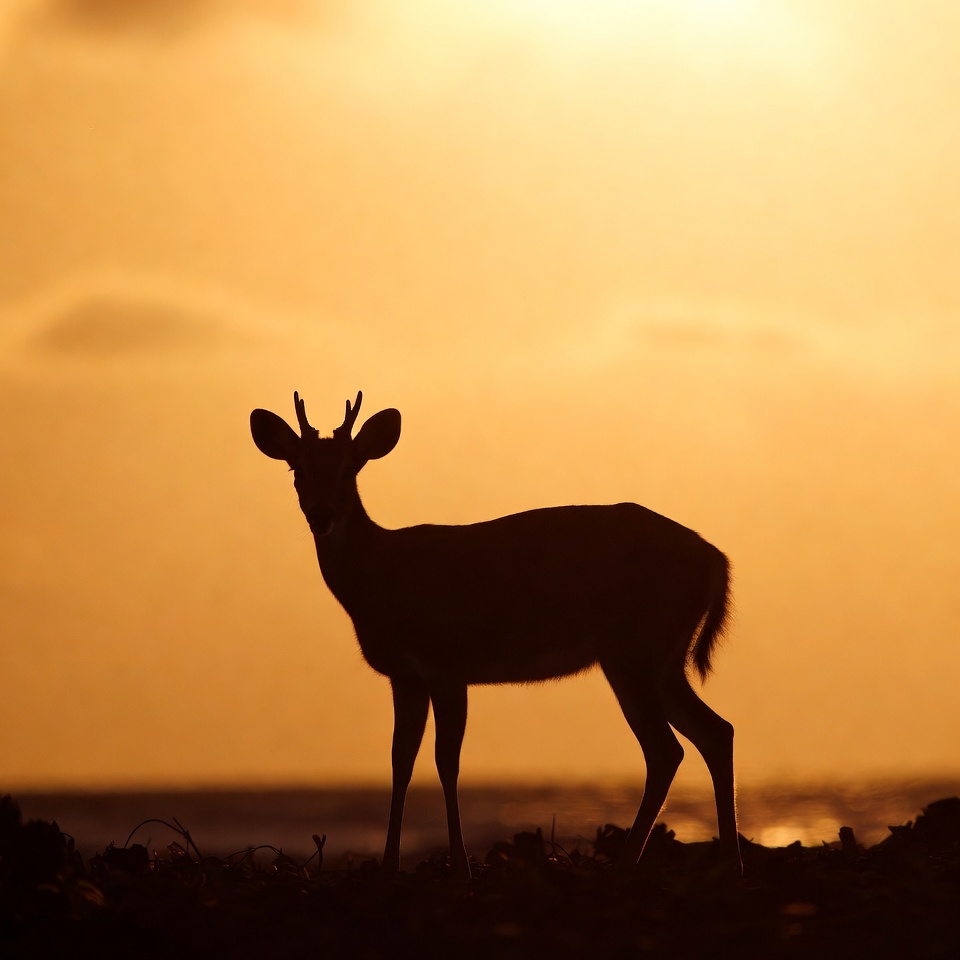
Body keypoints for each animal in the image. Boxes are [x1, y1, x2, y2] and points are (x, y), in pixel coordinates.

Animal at [250, 391, 741, 880]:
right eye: (297, 469)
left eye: (350, 468)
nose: (322, 515)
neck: (384, 576)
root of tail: (717, 559)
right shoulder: (405, 676)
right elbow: (400, 760)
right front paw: (390, 866)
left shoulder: (446, 661)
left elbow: (446, 760)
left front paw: (460, 867)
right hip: (661, 658)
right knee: (716, 731)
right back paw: (729, 864)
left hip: (635, 650)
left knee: (666, 749)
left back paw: (626, 865)